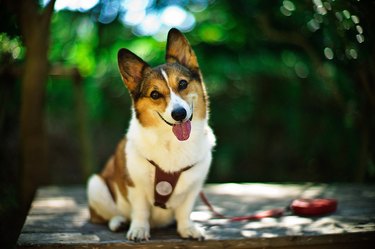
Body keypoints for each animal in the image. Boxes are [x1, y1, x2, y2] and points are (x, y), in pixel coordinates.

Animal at [88, 27, 216, 241]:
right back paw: (118, 221)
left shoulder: (194, 187)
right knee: (102, 217)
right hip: (96, 185)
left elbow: (184, 210)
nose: (179, 114)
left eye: (183, 84)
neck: (172, 142)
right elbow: (140, 211)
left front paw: (187, 228)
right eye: (155, 94)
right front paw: (139, 229)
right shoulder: (135, 186)